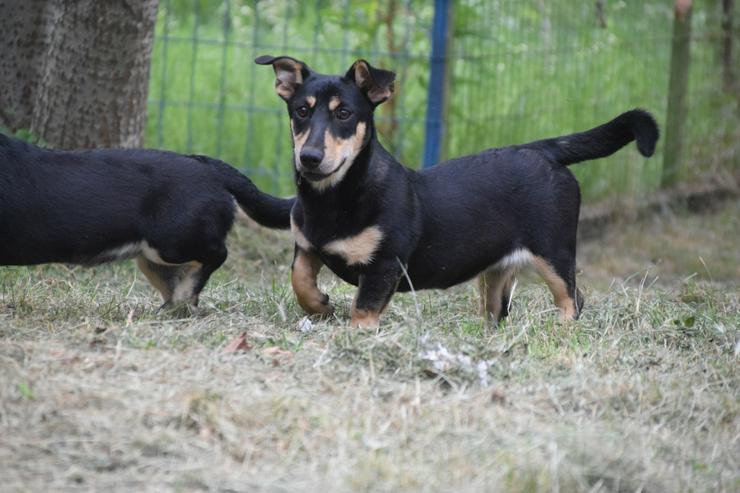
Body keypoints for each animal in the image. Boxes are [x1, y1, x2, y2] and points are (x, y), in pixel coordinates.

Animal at [256, 54, 660, 326]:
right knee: (499, 309)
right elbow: (299, 278)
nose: (309, 158)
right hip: (498, 270)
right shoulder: (307, 245)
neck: (335, 196)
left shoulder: (385, 264)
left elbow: (363, 308)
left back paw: (559, 331)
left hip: (554, 250)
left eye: (344, 114)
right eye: (301, 111)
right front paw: (320, 304)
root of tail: (542, 149)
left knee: (573, 298)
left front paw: (357, 334)